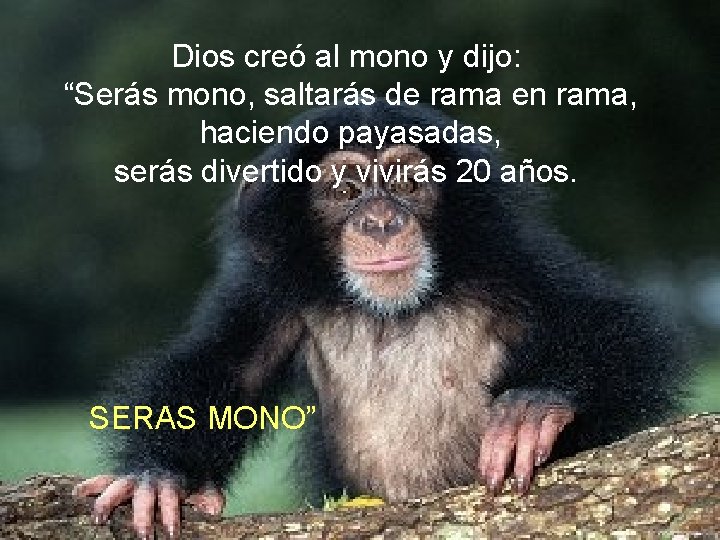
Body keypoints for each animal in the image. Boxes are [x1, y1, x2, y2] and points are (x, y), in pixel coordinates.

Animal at [74, 101, 688, 538]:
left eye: (406, 181)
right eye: (345, 188)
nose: (380, 219)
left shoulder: (508, 259)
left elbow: (608, 323)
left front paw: (535, 407)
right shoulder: (266, 290)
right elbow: (226, 369)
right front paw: (158, 476)